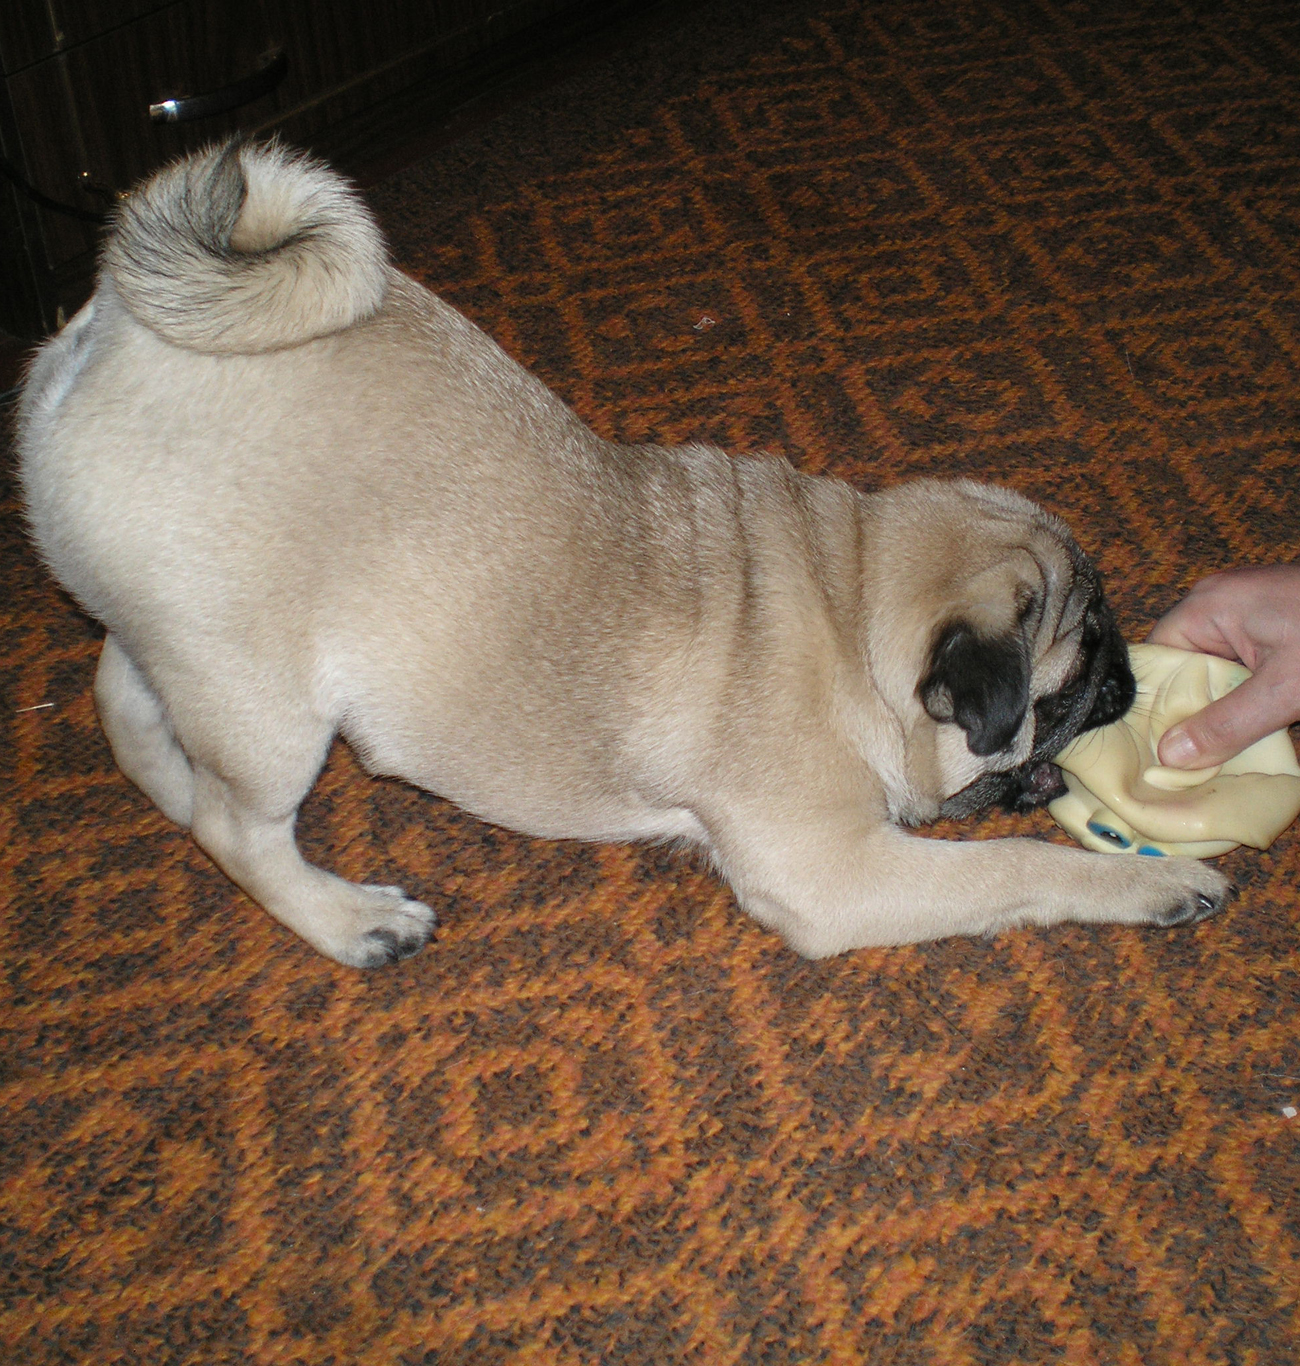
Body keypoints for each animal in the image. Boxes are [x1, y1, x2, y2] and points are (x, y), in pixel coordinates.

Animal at [16, 141, 1229, 967]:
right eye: (1079, 665)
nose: (1128, 674)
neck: (852, 607)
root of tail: (119, 325)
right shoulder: (831, 869)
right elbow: (1016, 865)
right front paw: (1162, 884)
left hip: (184, 636)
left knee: (125, 694)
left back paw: (172, 787)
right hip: (268, 703)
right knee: (239, 826)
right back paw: (347, 917)